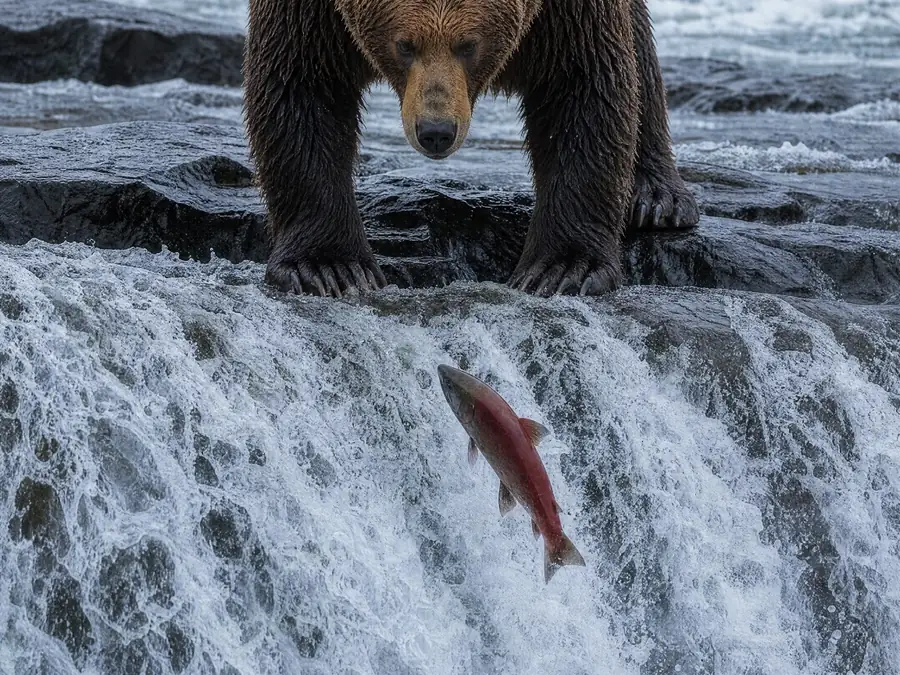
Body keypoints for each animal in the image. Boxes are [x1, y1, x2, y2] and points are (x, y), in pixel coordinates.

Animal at [243, 0, 699, 298]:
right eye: (405, 45)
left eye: (468, 44)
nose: (436, 130)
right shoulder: (312, 15)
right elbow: (302, 82)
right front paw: (329, 268)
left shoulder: (567, 17)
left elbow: (584, 83)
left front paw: (563, 268)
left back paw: (657, 197)